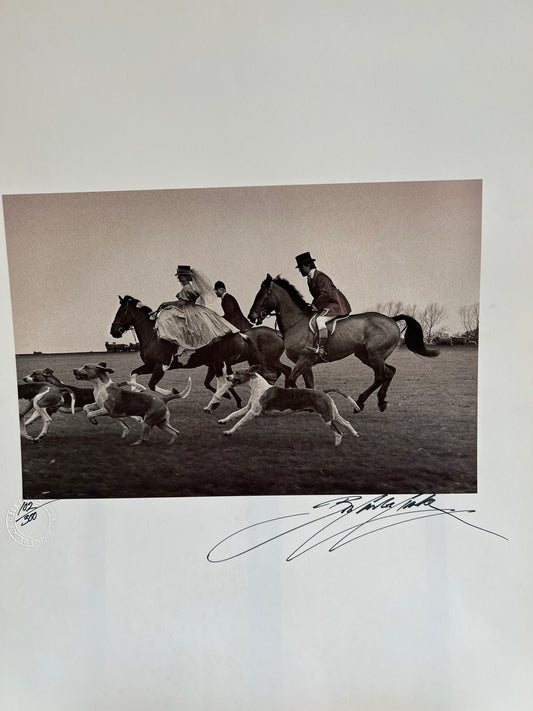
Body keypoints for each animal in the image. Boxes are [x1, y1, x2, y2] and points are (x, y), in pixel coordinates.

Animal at [109, 292, 290, 408]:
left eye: (122, 311)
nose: (114, 332)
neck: (154, 336)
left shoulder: (161, 366)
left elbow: (152, 385)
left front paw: (173, 391)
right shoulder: (150, 365)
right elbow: (133, 374)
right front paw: (135, 392)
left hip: (247, 361)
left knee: (280, 372)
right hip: (231, 362)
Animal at [247, 276, 438, 414]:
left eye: (261, 295)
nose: (251, 316)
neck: (296, 322)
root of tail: (391, 319)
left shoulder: (304, 359)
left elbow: (292, 381)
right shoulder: (306, 363)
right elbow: (309, 384)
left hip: (375, 355)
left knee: (381, 376)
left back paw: (360, 402)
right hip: (365, 355)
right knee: (390, 371)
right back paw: (381, 401)